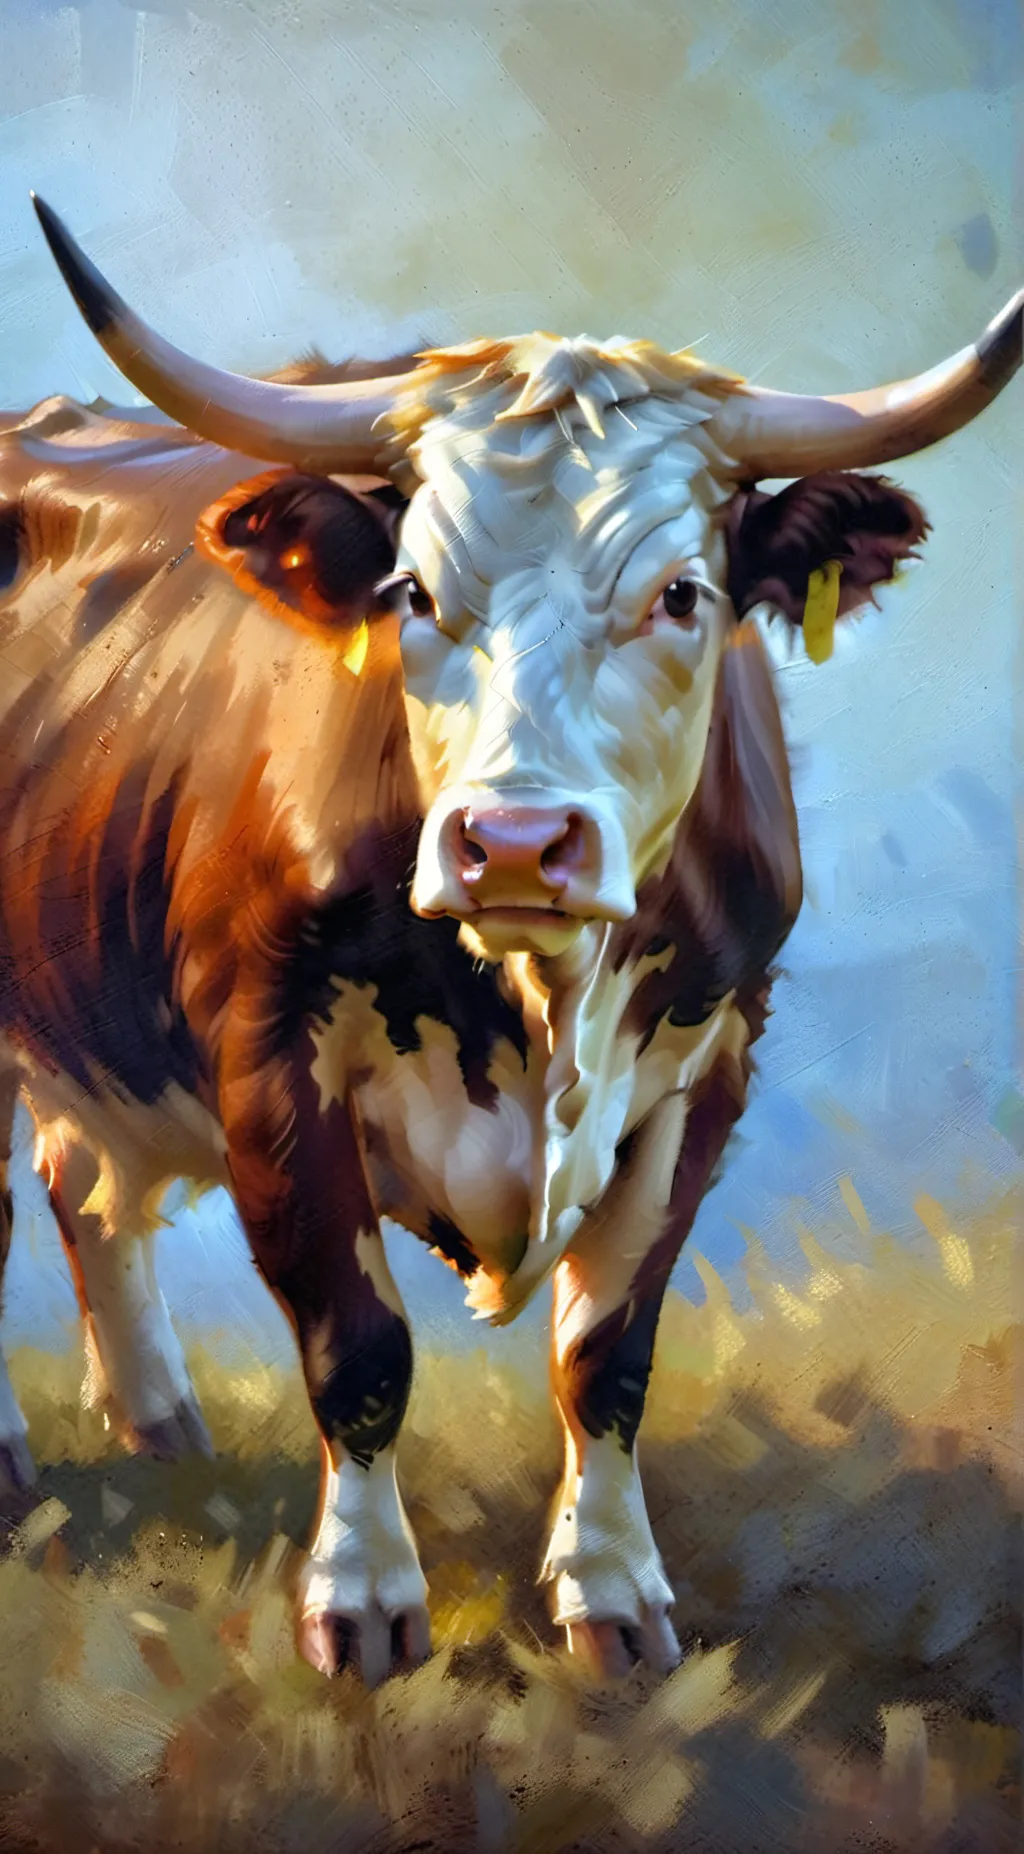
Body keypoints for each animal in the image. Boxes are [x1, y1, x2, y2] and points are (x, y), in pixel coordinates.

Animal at [0, 193, 1018, 1687]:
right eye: (414, 593)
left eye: (682, 594)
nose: (519, 841)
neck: (539, 1007)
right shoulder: (268, 1059)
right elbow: (358, 1348)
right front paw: (363, 1604)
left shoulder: (709, 1072)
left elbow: (607, 1355)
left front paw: (614, 1599)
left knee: (81, 1183)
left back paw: (160, 1427)